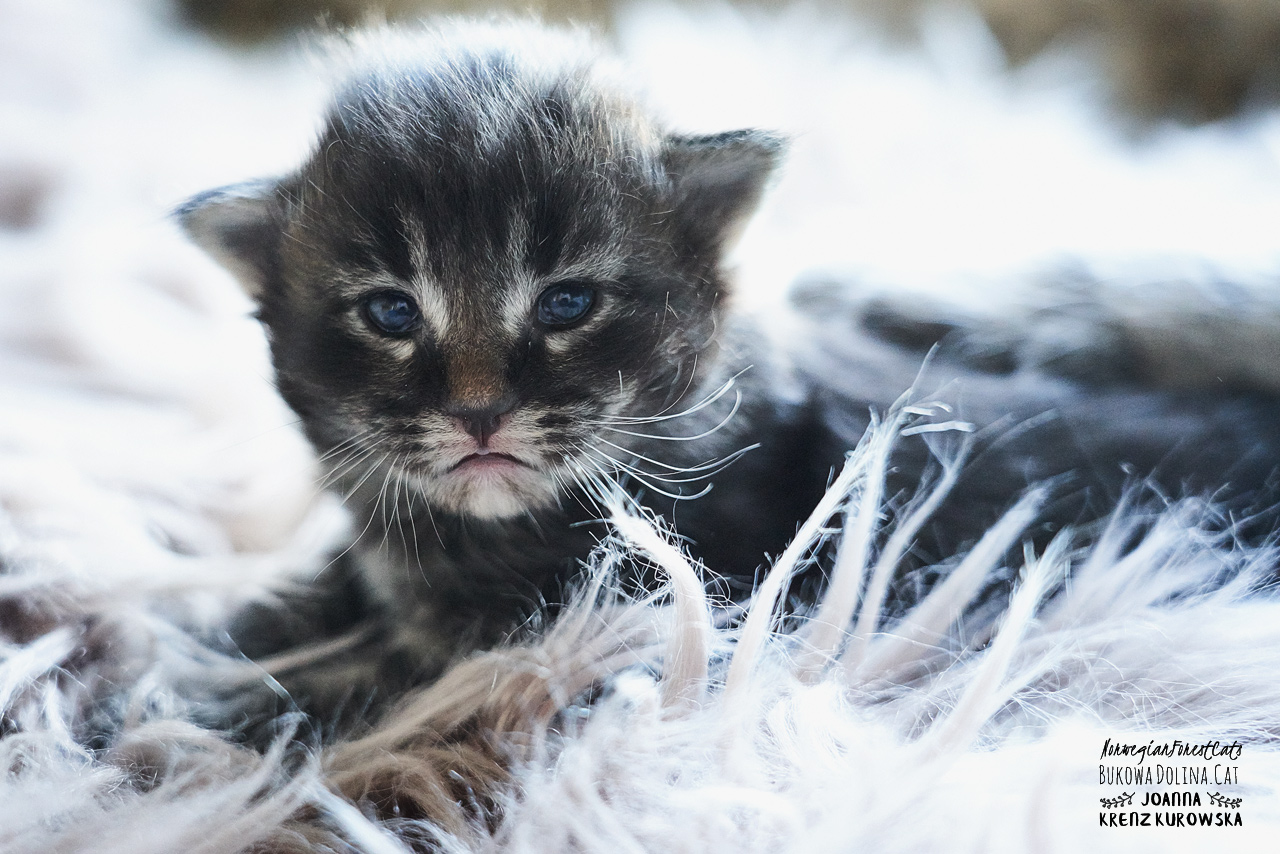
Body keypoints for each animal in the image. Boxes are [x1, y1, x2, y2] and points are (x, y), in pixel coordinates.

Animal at [180, 22, 1280, 729]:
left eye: (566, 304)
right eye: (391, 314)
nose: (480, 411)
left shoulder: (583, 623)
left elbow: (374, 683)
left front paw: (202, 695)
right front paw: (227, 627)